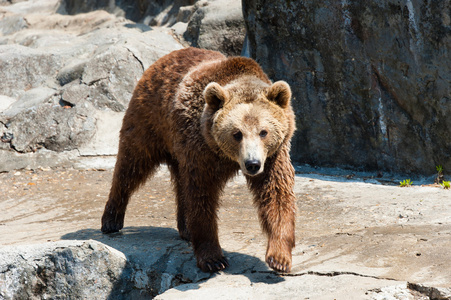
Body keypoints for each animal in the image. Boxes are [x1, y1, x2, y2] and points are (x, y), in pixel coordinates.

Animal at [101, 46, 296, 272]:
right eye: (237, 133)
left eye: (263, 132)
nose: (253, 164)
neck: (226, 156)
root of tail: (162, 59)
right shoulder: (201, 149)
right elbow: (201, 195)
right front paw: (213, 259)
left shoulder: (273, 156)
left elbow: (277, 194)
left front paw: (279, 258)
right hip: (150, 120)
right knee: (131, 163)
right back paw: (111, 220)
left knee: (178, 181)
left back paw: (185, 228)